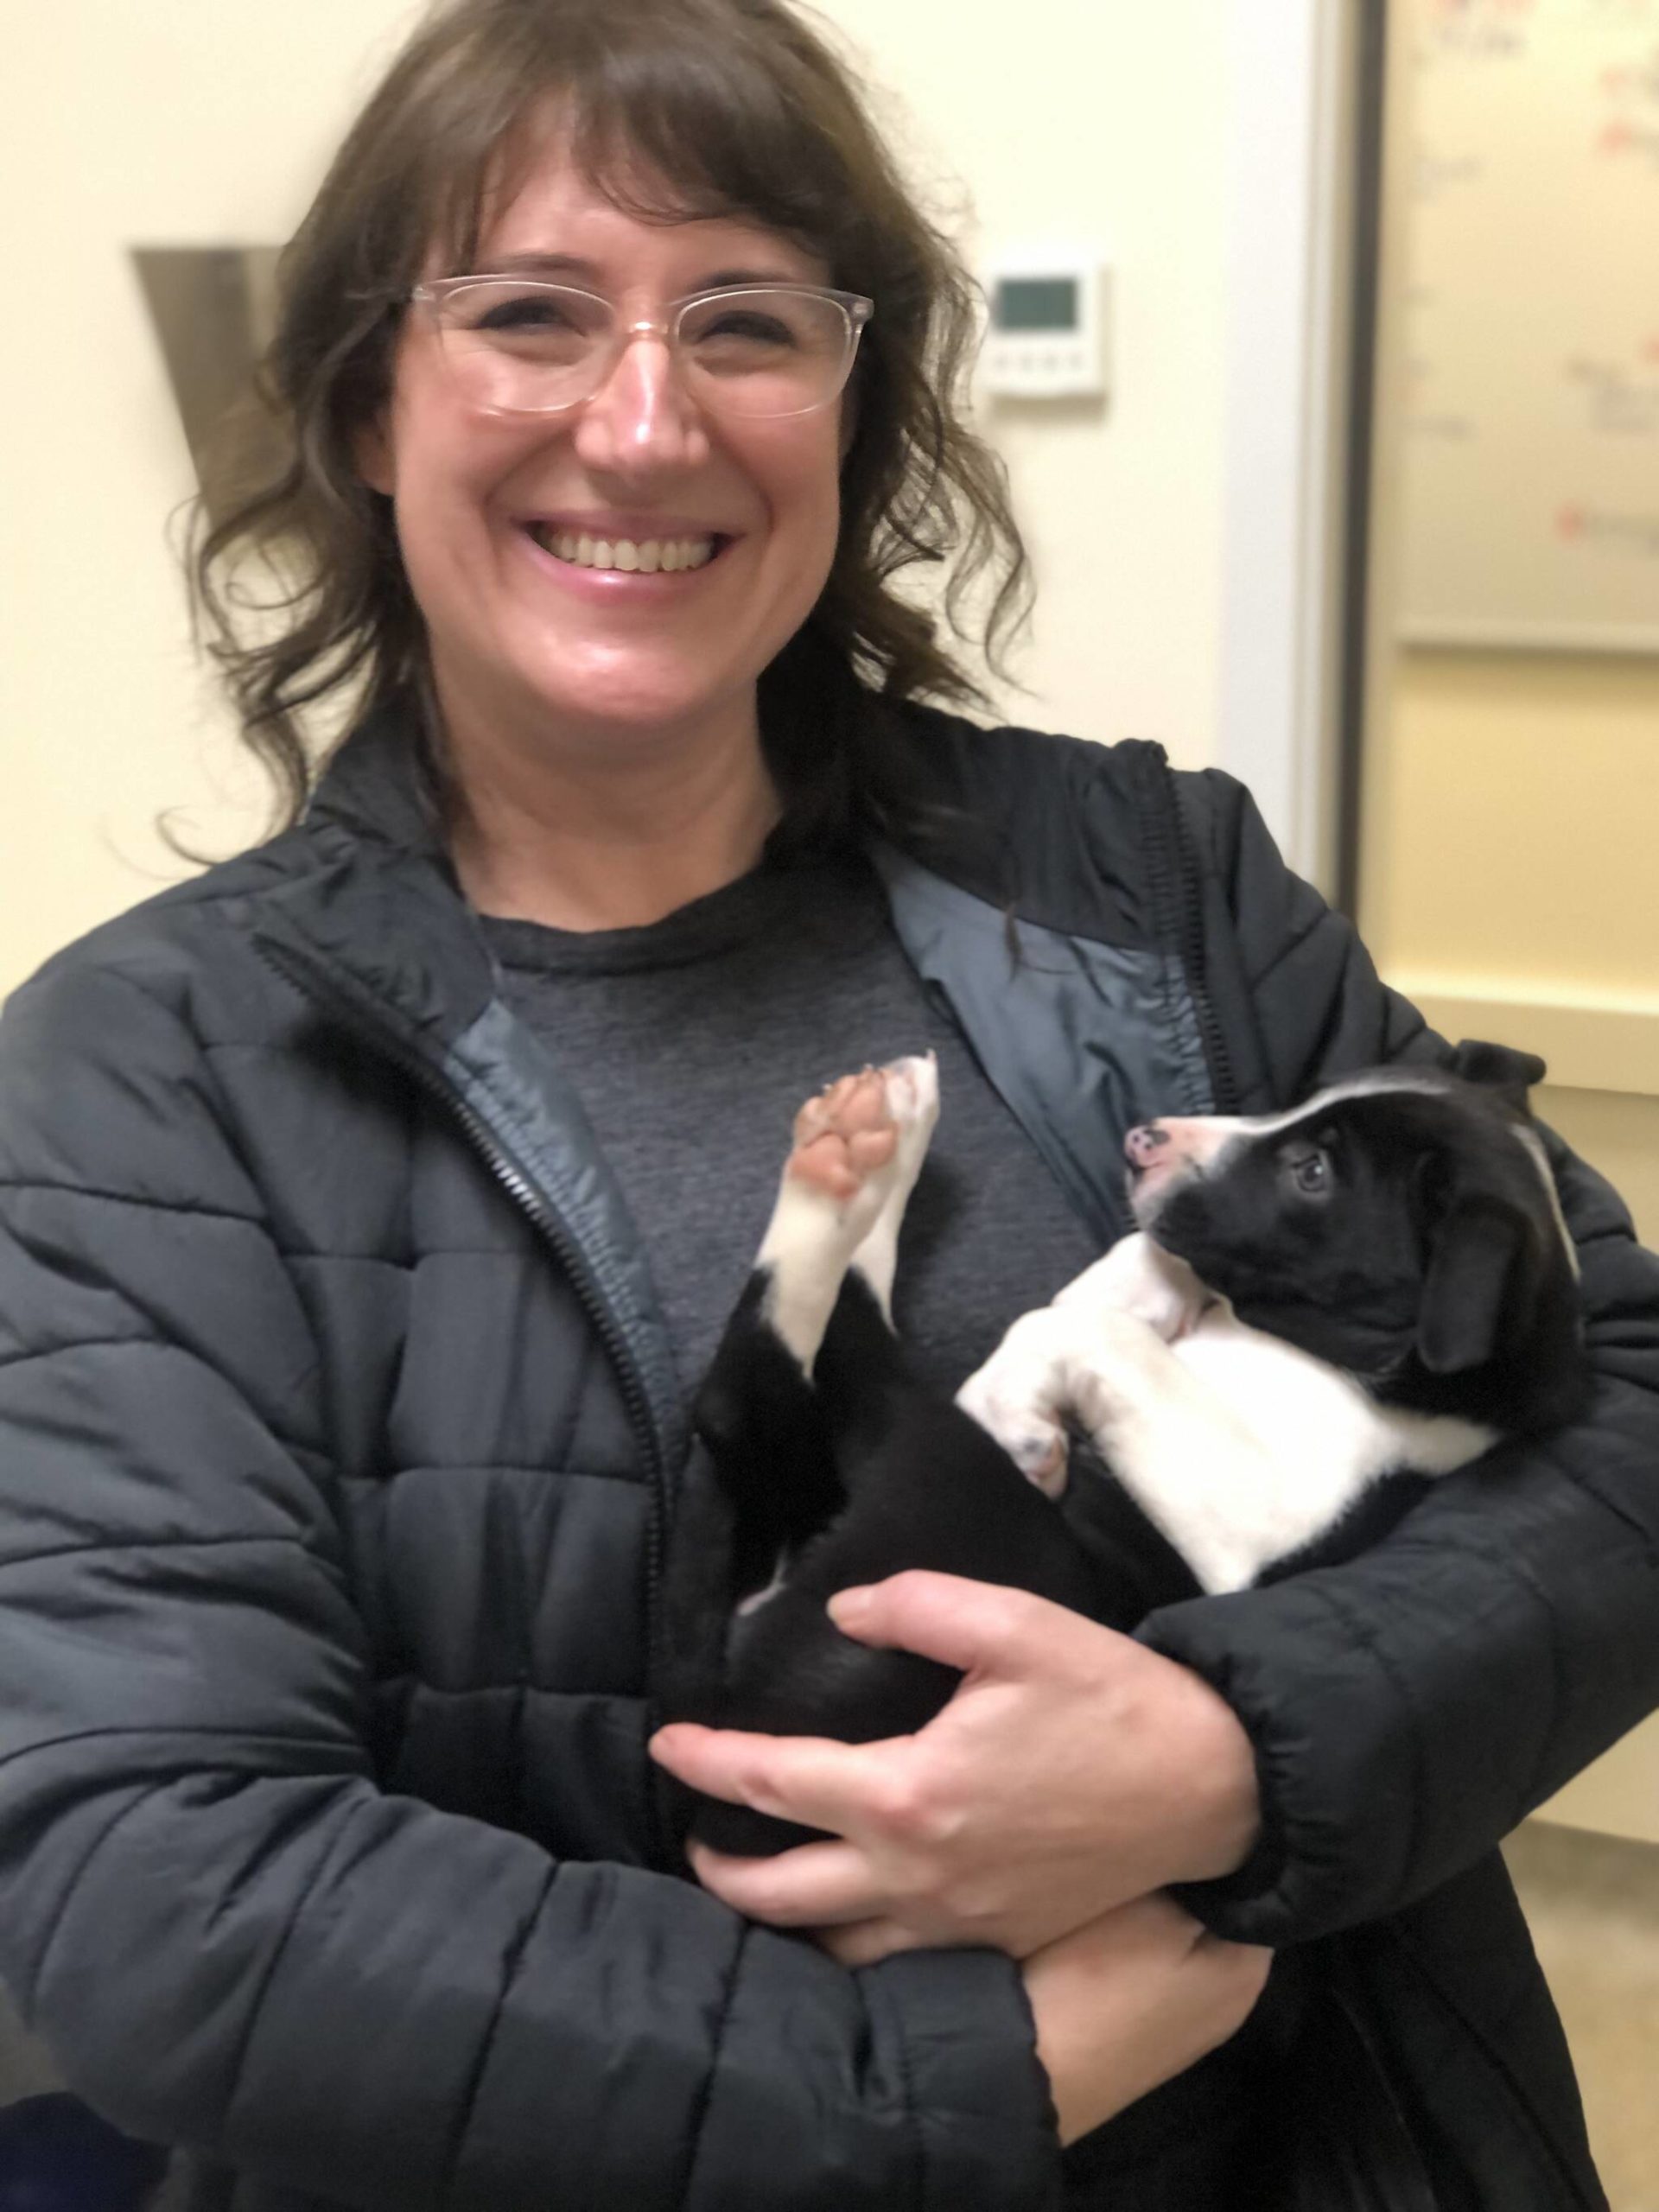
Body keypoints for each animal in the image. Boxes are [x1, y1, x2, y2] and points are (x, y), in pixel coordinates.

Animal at [668, 1044, 1592, 1858]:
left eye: (1313, 1174)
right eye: (1305, 1102)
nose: (1144, 1139)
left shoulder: (1248, 1525)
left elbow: (1083, 1326)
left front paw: (1016, 1410)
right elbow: (1132, 1271)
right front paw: (1151, 1291)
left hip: (942, 1479)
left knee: (752, 1389)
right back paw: (874, 1125)